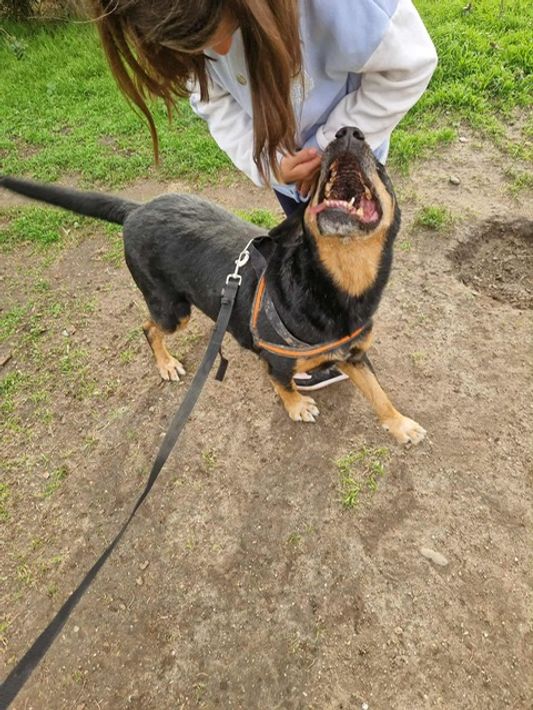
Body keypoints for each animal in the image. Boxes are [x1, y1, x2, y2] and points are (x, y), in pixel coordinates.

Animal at [0, 127, 425, 445]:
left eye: (382, 169)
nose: (348, 132)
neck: (337, 285)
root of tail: (135, 210)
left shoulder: (353, 355)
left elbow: (378, 392)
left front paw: (400, 424)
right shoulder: (275, 361)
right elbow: (283, 385)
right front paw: (296, 406)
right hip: (172, 310)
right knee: (148, 327)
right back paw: (166, 364)